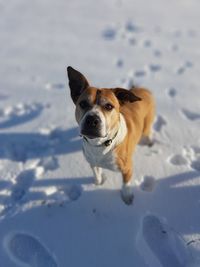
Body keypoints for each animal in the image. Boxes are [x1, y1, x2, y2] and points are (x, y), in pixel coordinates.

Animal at [66, 67, 155, 205]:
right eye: (83, 104)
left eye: (109, 106)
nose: (92, 120)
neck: (101, 145)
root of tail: (143, 89)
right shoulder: (93, 162)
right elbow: (97, 174)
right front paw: (98, 184)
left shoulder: (127, 168)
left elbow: (126, 184)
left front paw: (127, 196)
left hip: (146, 125)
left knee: (149, 131)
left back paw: (150, 142)